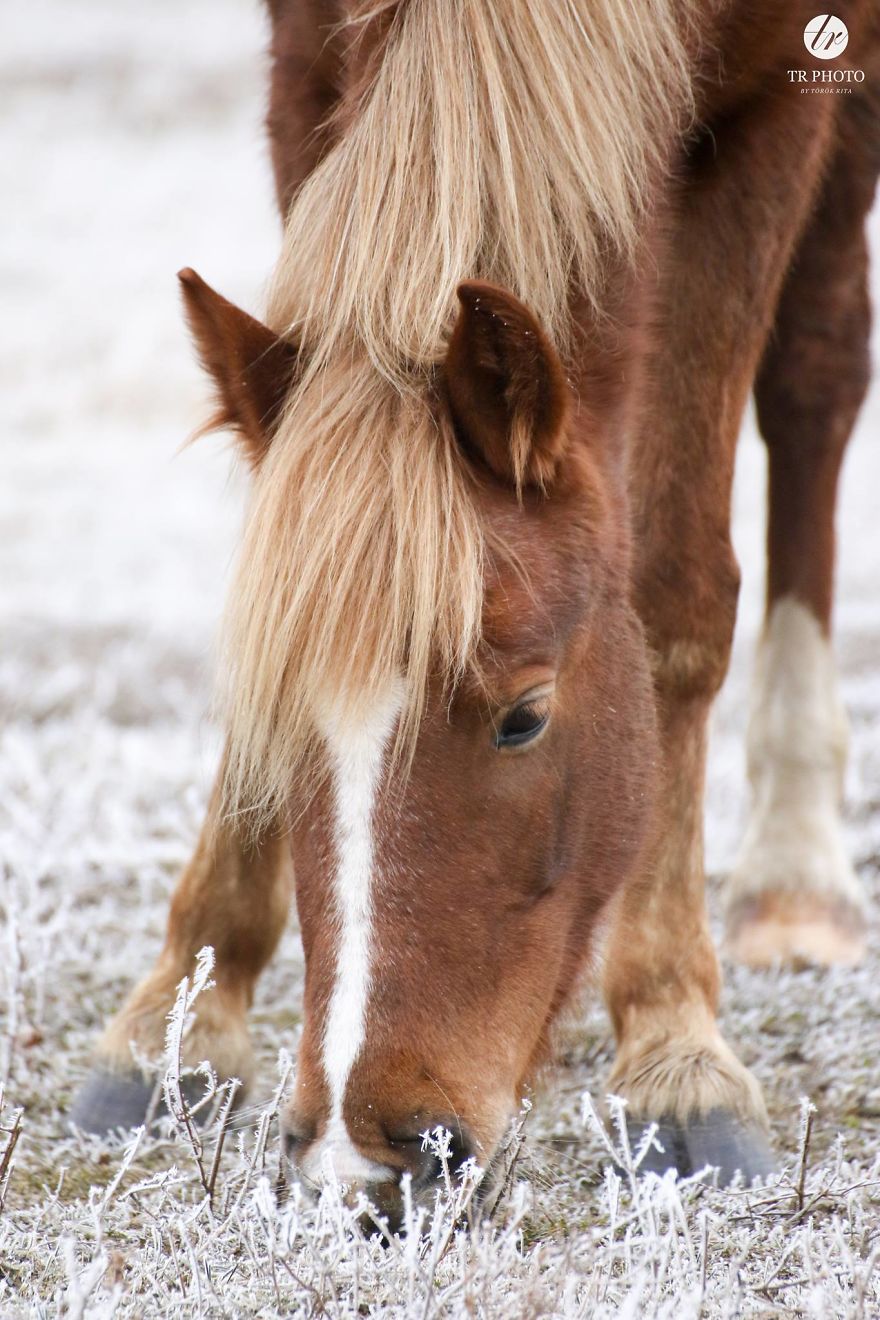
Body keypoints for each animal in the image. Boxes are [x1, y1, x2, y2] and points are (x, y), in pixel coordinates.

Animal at [73, 0, 880, 1218]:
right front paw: (186, 1010)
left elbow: (677, 585)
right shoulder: (301, 59)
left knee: (817, 374)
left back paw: (796, 878)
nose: (365, 1158)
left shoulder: (771, 113)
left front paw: (674, 1049)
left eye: (524, 717)